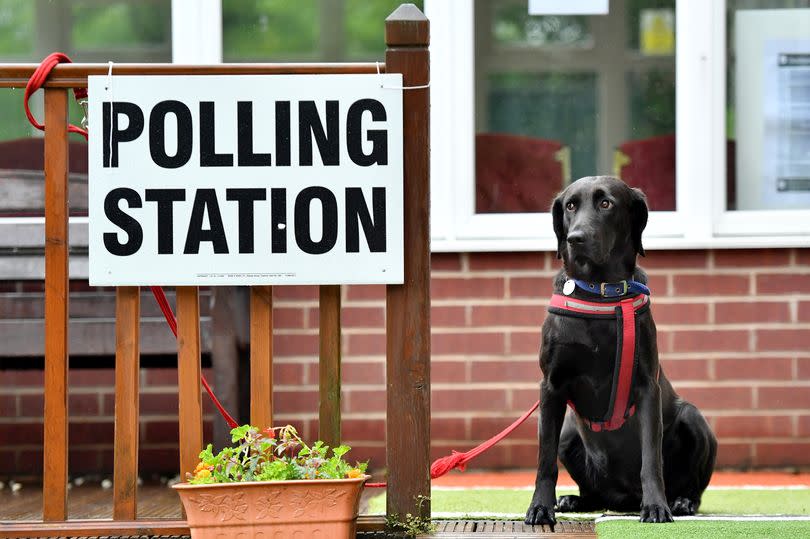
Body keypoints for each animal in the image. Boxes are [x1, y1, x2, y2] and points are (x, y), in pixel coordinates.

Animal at [524, 177, 712, 528]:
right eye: (570, 206)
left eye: (606, 203)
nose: (575, 238)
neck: (599, 292)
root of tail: (623, 499)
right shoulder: (551, 386)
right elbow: (545, 459)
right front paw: (540, 507)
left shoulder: (647, 387)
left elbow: (651, 459)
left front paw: (656, 507)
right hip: (569, 433)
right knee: (592, 491)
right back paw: (573, 500)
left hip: (693, 418)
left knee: (693, 486)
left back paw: (680, 501)